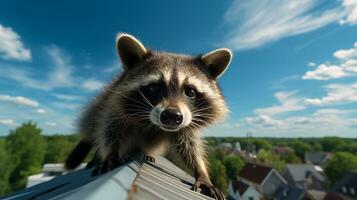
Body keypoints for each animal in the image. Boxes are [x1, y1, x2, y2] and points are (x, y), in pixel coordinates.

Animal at [64, 32, 232, 198]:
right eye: (154, 88)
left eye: (190, 91)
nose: (172, 116)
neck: (151, 123)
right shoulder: (114, 105)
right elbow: (111, 130)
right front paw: (111, 153)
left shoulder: (186, 122)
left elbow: (188, 146)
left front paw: (201, 172)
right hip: (99, 104)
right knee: (94, 124)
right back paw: (98, 155)